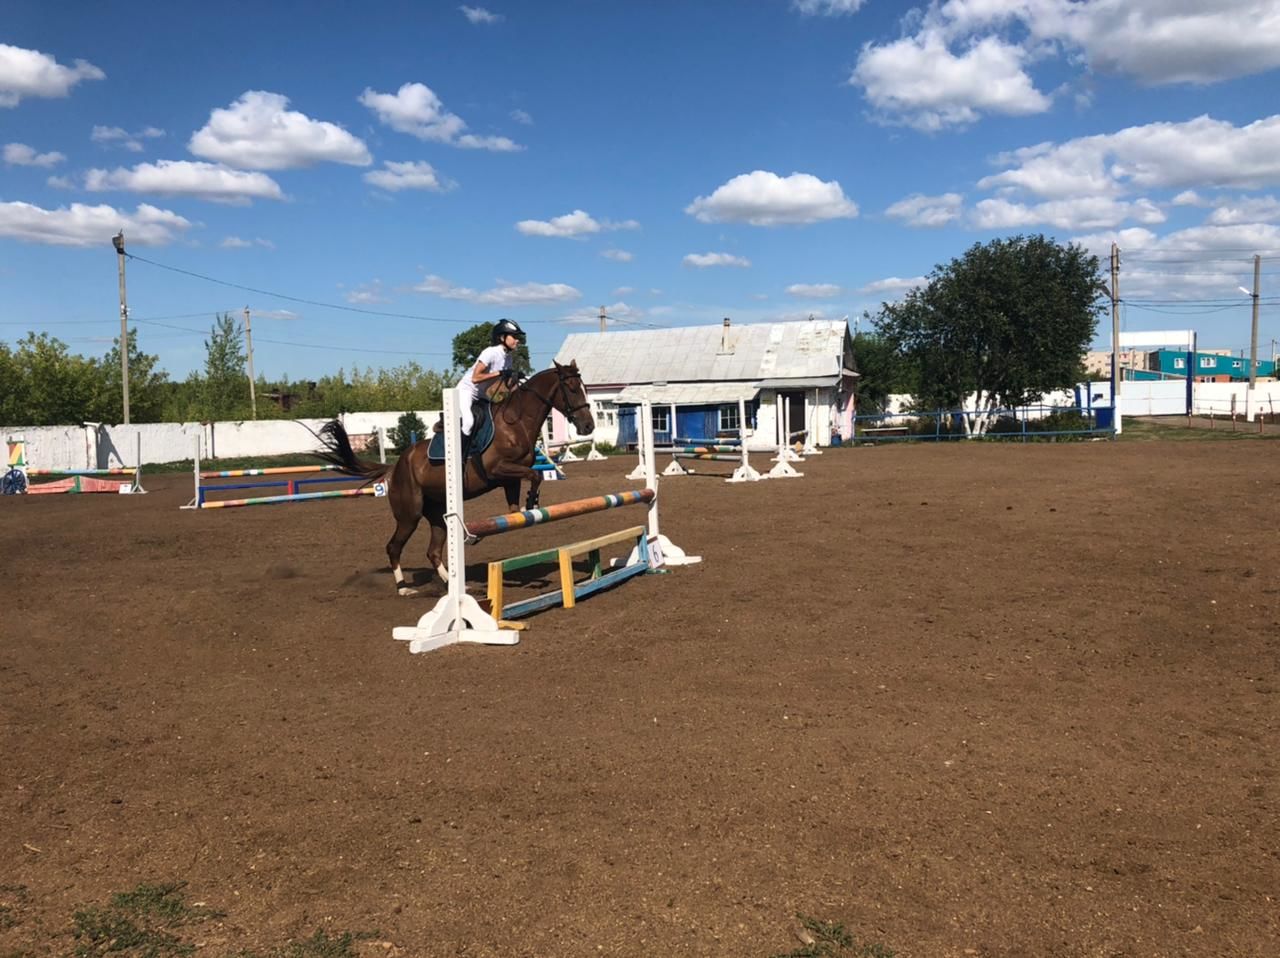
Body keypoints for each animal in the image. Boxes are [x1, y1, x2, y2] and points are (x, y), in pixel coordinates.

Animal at [314, 361, 593, 594]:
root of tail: (396, 466)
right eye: (571, 389)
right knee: (394, 547)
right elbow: (534, 475)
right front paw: (532, 501)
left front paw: (529, 505)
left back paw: (457, 585)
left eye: (585, 388)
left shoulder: (510, 479)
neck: (516, 422)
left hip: (437, 515)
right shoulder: (497, 469)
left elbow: (519, 502)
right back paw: (404, 588)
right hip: (409, 515)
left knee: (433, 551)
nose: (588, 426)